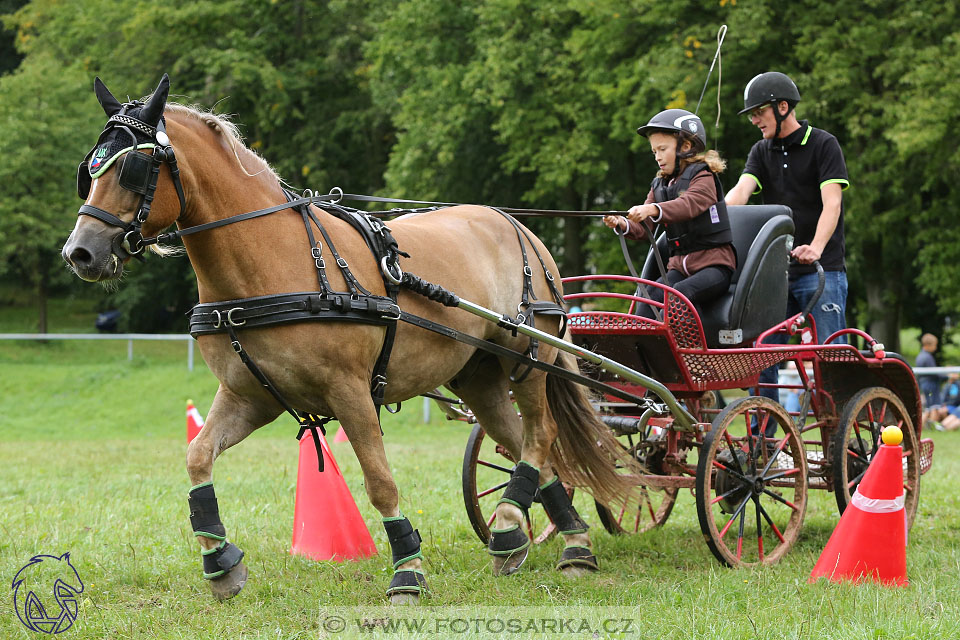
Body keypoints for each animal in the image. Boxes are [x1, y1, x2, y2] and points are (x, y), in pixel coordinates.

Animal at [60, 75, 636, 600]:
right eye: (89, 170)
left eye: (133, 170)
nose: (80, 253)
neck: (275, 260)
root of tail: (517, 226)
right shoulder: (249, 396)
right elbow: (197, 456)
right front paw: (220, 562)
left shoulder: (350, 391)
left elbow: (380, 482)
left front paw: (408, 571)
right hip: (479, 375)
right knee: (523, 446)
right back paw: (546, 538)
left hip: (529, 356)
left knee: (540, 437)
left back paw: (528, 527)